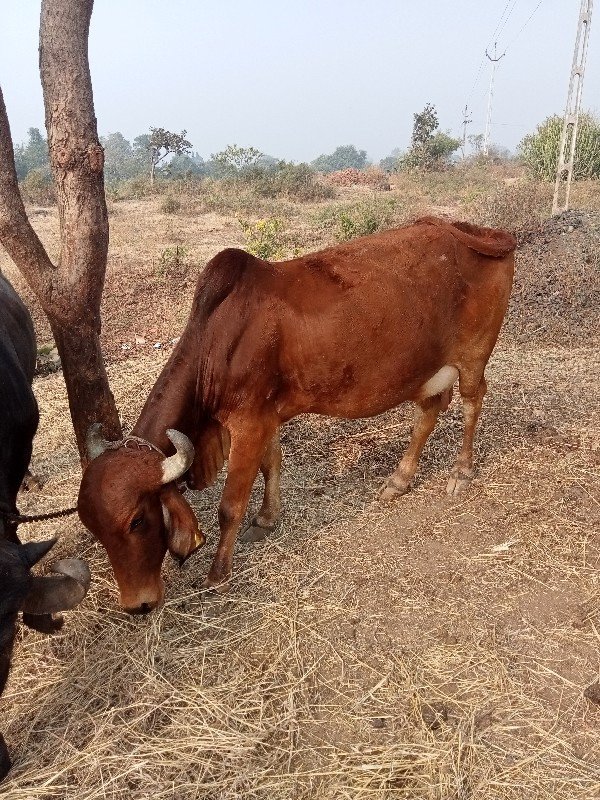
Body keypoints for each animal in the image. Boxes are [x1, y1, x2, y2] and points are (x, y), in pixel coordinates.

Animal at [76, 216, 516, 608]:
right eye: (94, 529)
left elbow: (230, 506)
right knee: (429, 412)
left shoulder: (247, 422)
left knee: (472, 401)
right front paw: (267, 519)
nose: (138, 605)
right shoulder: (265, 416)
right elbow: (271, 464)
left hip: (474, 356)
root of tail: (481, 233)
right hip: (424, 372)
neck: (215, 343)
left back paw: (461, 472)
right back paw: (399, 480)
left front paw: (218, 573)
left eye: (137, 520)